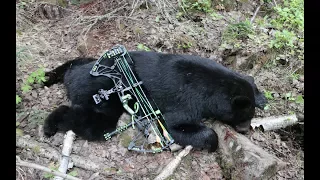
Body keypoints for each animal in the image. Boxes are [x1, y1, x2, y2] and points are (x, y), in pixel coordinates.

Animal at [43, 50, 268, 152]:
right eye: (243, 116)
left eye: (250, 116)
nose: (245, 130)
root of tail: (72, 78)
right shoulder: (186, 100)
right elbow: (174, 125)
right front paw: (211, 142)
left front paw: (261, 97)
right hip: (102, 93)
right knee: (97, 123)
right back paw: (50, 125)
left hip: (87, 64)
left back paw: (49, 76)